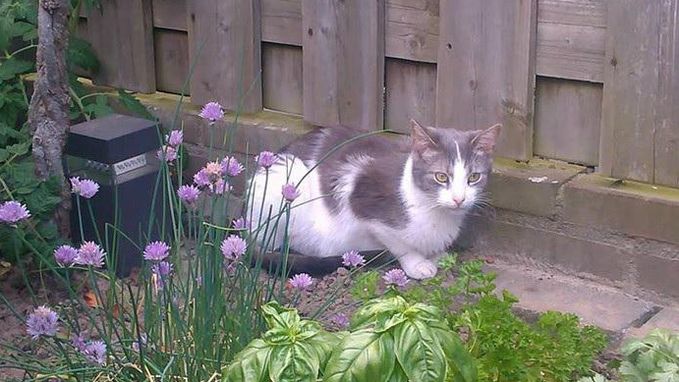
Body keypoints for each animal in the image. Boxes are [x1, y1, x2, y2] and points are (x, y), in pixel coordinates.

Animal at [246, 120, 500, 280]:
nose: (459, 199)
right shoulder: (361, 198)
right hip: (284, 181)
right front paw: (417, 263)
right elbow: (397, 243)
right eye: (441, 176)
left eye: (474, 177)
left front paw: (438, 254)